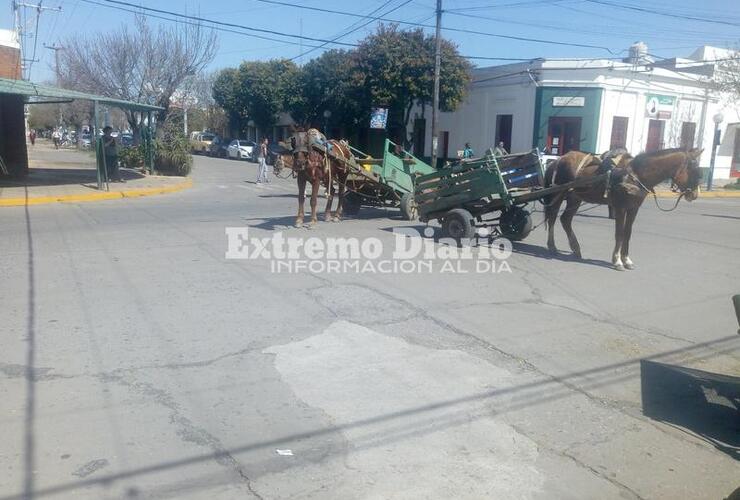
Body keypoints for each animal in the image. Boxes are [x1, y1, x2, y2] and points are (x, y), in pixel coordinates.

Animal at [548, 148, 704, 272]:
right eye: (693, 170)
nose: (694, 195)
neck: (635, 175)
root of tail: (558, 159)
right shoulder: (620, 208)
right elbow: (619, 234)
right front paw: (617, 261)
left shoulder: (633, 209)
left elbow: (627, 234)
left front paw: (627, 260)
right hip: (558, 194)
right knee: (552, 218)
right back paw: (552, 247)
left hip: (575, 197)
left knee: (565, 219)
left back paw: (575, 248)